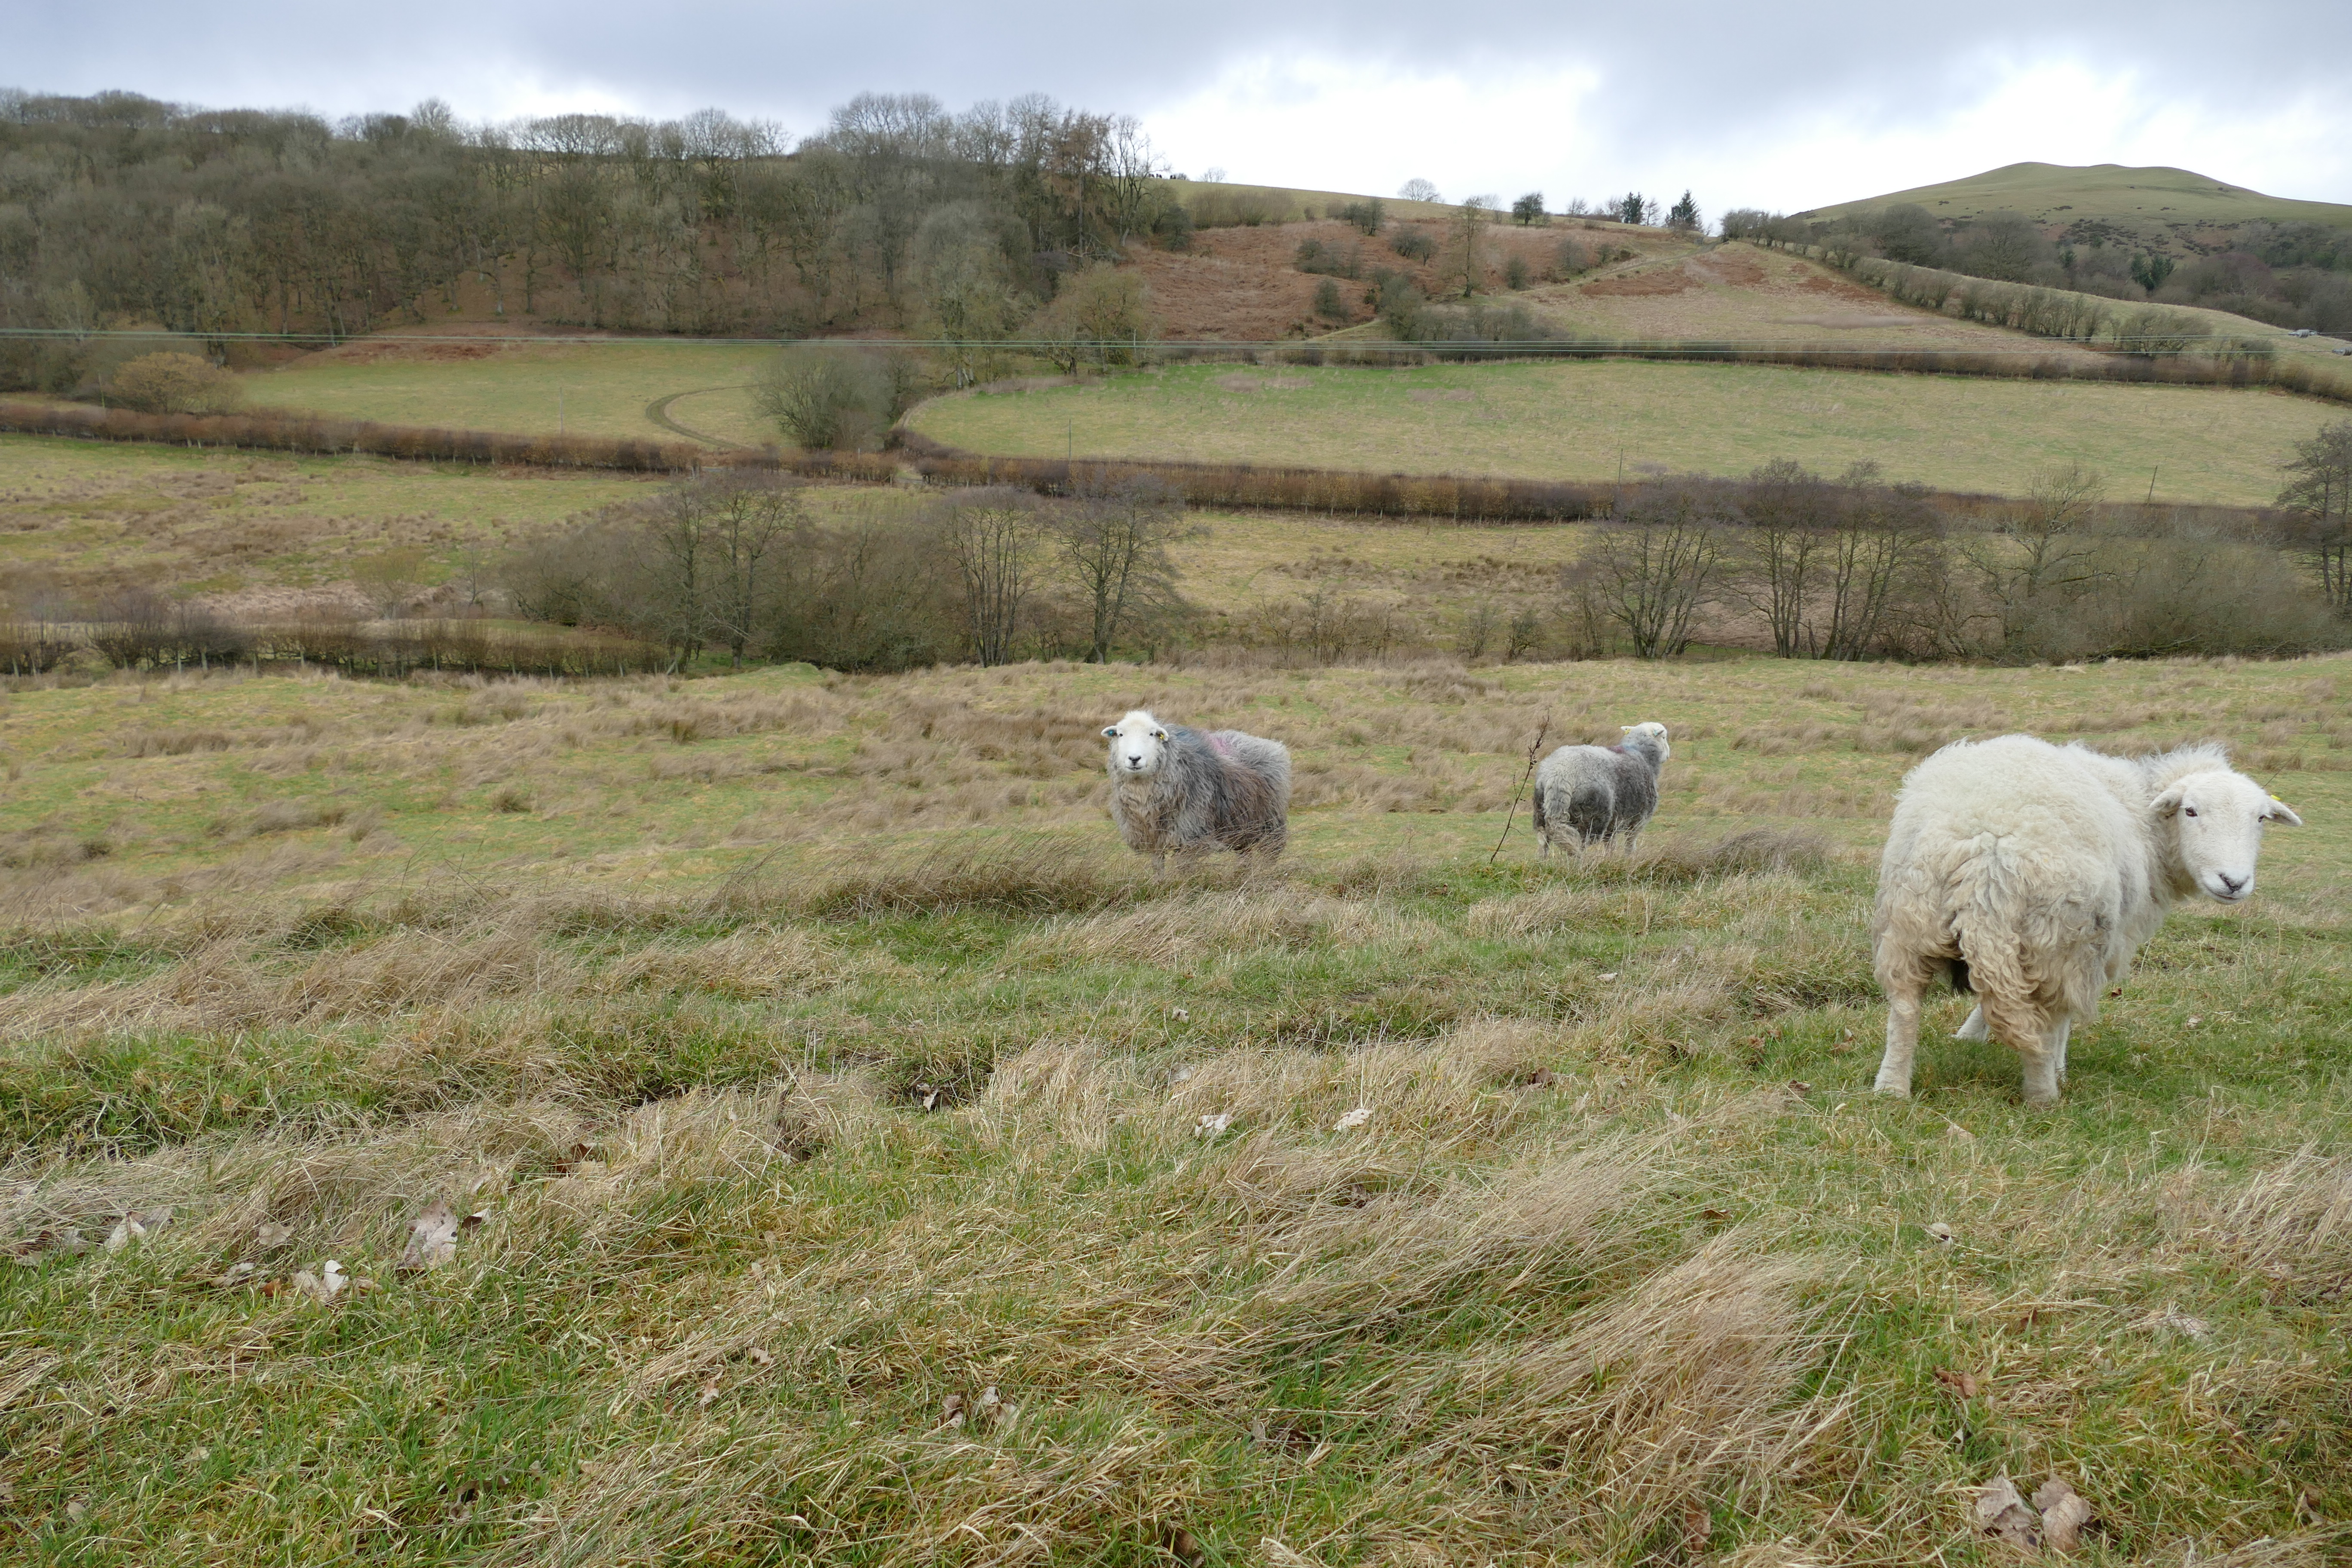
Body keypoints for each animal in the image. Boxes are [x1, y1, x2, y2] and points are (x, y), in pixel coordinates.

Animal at [1096, 710, 1289, 870]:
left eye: (1152, 734)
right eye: (1120, 734)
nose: (1134, 759)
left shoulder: (1189, 834)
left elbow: (1184, 869)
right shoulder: (1153, 837)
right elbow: (1158, 866)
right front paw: (1159, 886)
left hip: (1270, 821)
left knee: (1270, 853)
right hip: (1243, 823)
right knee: (1245, 852)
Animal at [1524, 724, 1675, 860]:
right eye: (1664, 738)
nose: (1668, 755)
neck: (1640, 753)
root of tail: (1559, 775)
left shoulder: (1614, 821)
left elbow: (1610, 844)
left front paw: (1610, 859)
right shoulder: (1639, 818)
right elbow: (1630, 843)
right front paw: (1629, 858)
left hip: (1541, 809)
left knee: (1544, 840)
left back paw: (1543, 862)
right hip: (1592, 815)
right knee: (1579, 843)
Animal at [1872, 733, 2295, 1105]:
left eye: (2261, 818)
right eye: (2190, 811)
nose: (2234, 882)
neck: (2147, 823)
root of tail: (1988, 854)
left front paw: (1967, 1037)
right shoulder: (2105, 939)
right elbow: (2055, 1020)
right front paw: (2056, 1068)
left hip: (1910, 918)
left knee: (1906, 1009)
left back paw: (1891, 1088)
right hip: (2062, 937)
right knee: (2046, 1020)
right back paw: (2044, 1094)